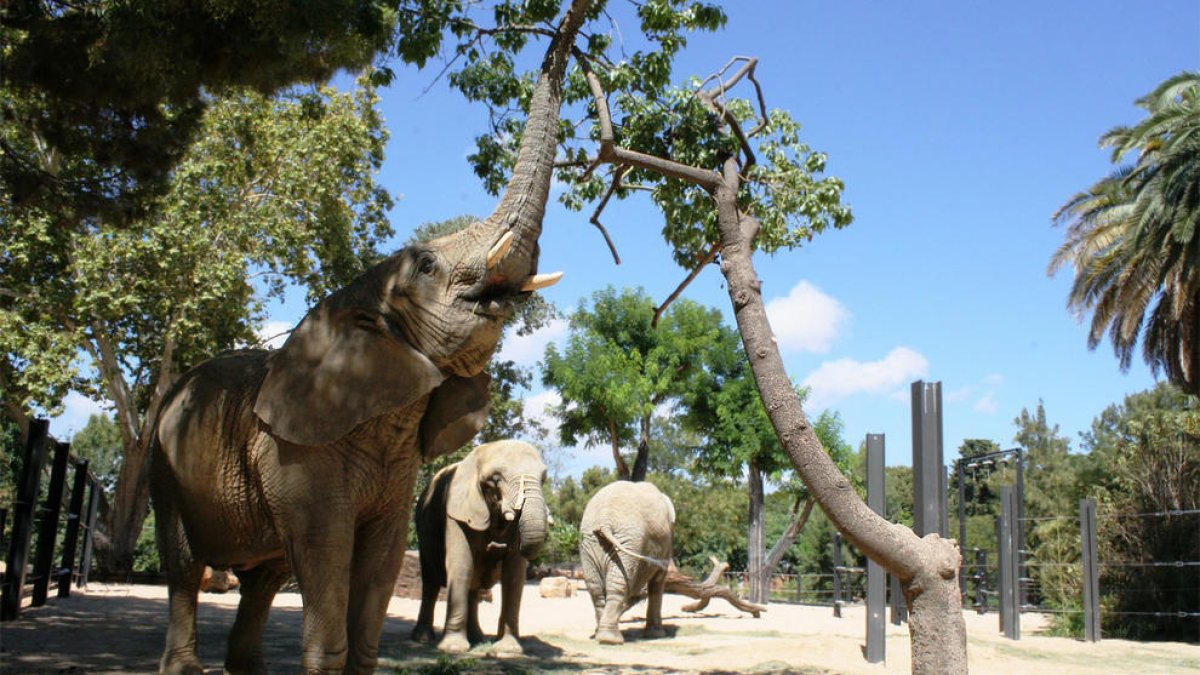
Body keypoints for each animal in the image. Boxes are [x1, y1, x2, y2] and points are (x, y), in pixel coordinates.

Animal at [410, 440, 548, 655]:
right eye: (496, 479)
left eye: (544, 478)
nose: (497, 545)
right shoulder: (456, 513)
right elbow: (461, 565)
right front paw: (453, 649)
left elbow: (514, 574)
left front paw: (508, 650)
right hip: (424, 533)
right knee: (431, 583)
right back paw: (423, 638)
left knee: (473, 587)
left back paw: (477, 638)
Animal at [579, 480, 676, 645]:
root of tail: (604, 521)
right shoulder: (666, 547)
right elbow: (658, 582)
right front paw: (657, 634)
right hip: (628, 541)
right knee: (618, 584)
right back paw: (611, 639)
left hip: (591, 543)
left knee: (595, 588)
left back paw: (600, 635)